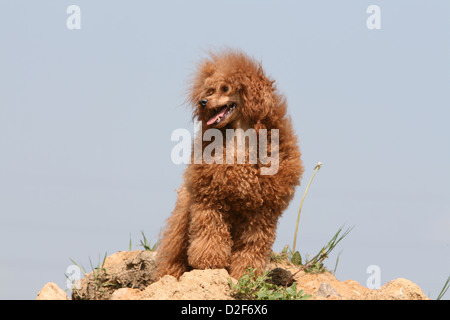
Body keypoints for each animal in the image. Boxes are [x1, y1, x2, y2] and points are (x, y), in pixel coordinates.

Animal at [156, 48, 306, 278]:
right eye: (209, 91)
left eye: (225, 88)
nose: (202, 102)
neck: (241, 138)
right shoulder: (210, 199)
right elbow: (210, 235)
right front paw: (209, 264)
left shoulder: (261, 211)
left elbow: (252, 246)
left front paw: (246, 274)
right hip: (183, 217)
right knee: (175, 251)